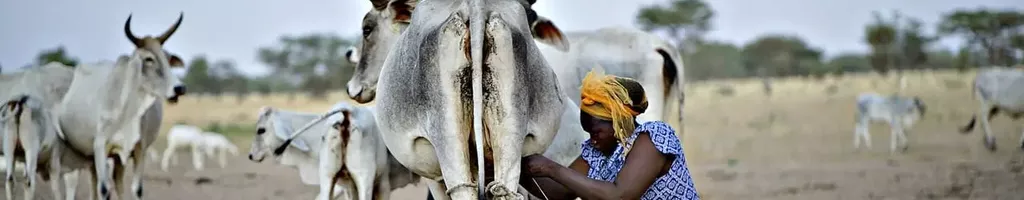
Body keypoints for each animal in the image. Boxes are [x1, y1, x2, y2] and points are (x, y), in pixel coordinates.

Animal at [54, 13, 187, 198]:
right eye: (149, 59)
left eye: (168, 58)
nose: (179, 88)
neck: (127, 109)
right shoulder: (100, 147)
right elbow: (104, 190)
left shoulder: (139, 149)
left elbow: (136, 189)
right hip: (77, 152)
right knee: (75, 182)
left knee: (110, 181)